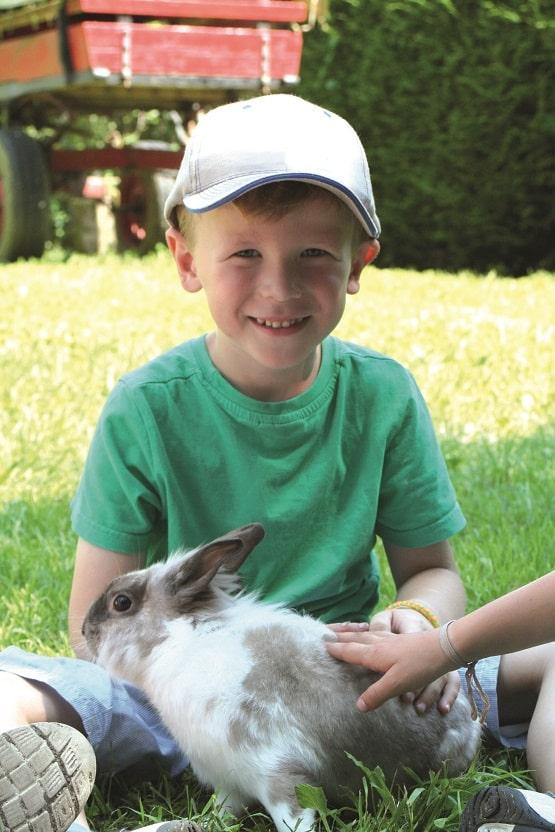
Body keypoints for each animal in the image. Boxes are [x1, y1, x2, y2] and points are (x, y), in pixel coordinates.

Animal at [82, 528, 482, 832]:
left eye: (121, 603)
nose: (84, 630)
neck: (183, 645)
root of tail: (471, 724)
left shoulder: (276, 769)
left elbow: (294, 817)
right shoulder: (228, 780)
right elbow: (222, 812)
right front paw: (199, 822)